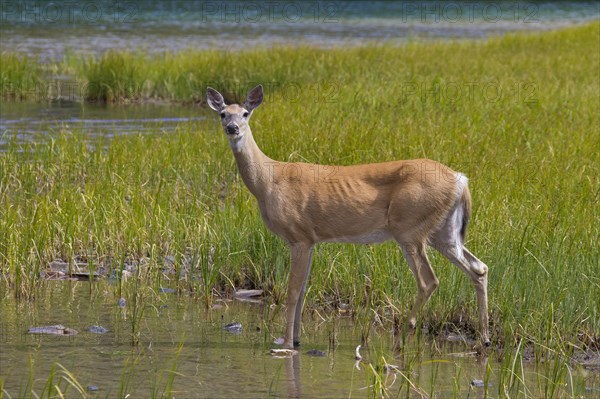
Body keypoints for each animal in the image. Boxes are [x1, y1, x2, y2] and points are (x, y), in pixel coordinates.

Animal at [209, 85, 490, 350]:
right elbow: (303, 289)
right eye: (223, 113)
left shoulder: (298, 235)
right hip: (443, 232)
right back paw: (484, 339)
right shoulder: (311, 239)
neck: (268, 181)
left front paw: (286, 344)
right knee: (479, 268)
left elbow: (292, 290)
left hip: (410, 228)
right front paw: (297, 340)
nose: (232, 128)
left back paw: (402, 337)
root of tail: (460, 180)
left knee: (429, 281)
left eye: (246, 113)